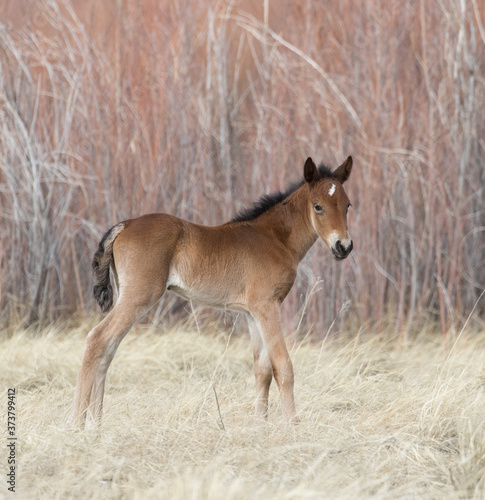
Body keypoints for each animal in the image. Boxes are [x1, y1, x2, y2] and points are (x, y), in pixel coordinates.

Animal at [69, 155, 352, 426]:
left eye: (347, 204)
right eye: (318, 206)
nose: (344, 246)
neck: (274, 238)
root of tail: (125, 225)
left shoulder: (253, 312)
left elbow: (262, 371)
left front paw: (261, 427)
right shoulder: (267, 305)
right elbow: (283, 366)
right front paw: (293, 426)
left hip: (127, 297)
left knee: (108, 350)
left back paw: (96, 426)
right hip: (139, 296)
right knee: (97, 339)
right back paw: (77, 425)